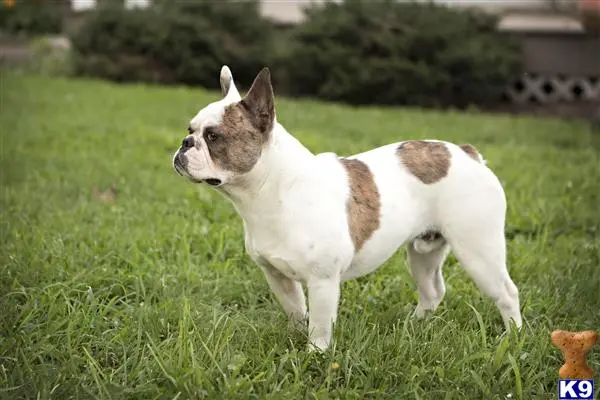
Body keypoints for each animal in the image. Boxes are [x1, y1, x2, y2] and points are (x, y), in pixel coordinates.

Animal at [172, 65, 520, 350]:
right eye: (190, 130)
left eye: (213, 136)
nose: (185, 144)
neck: (272, 191)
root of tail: (467, 154)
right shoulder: (277, 276)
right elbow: (297, 311)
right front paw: (295, 339)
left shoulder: (323, 282)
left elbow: (320, 327)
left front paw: (314, 356)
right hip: (424, 252)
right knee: (432, 291)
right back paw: (413, 327)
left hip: (478, 250)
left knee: (507, 293)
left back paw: (513, 339)